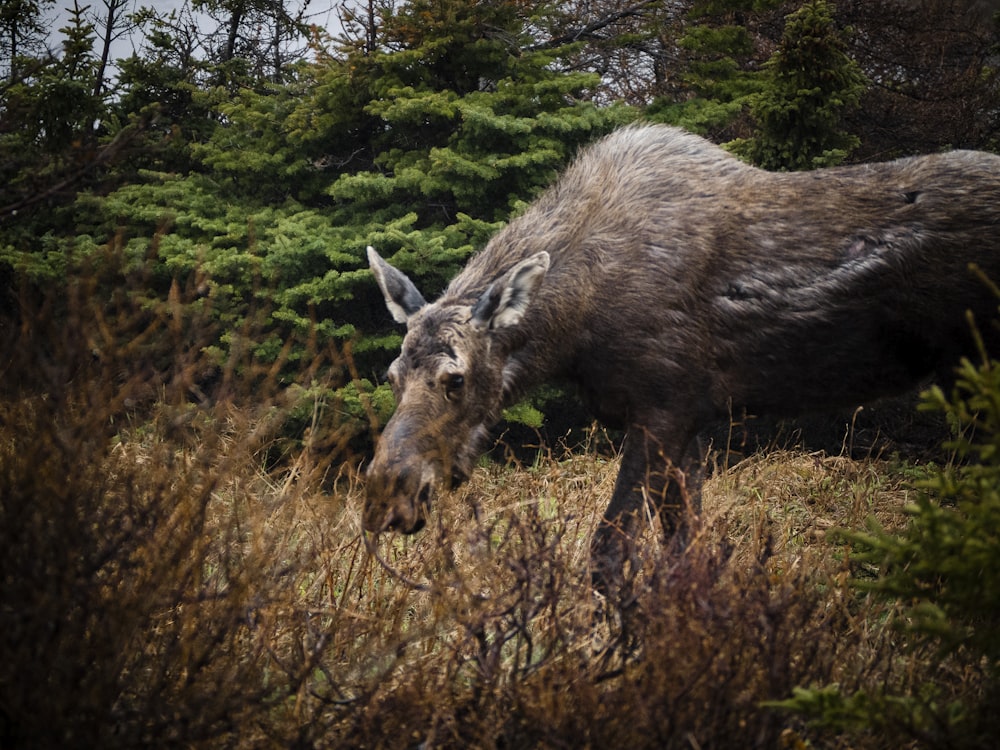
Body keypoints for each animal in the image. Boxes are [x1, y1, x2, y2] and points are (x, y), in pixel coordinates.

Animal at [364, 125, 1000, 592]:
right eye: (392, 376)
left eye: (456, 379)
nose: (387, 494)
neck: (572, 327)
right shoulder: (688, 421)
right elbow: (684, 554)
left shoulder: (661, 412)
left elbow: (609, 556)